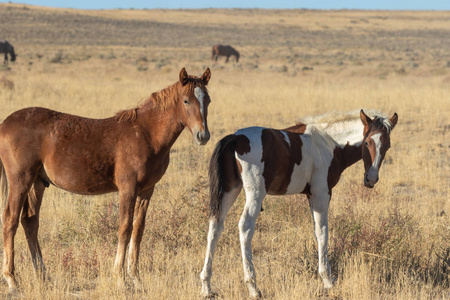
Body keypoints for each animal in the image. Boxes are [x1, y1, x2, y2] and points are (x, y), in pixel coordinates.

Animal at [0, 67, 213, 292]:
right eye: (186, 100)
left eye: (207, 100)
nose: (203, 136)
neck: (145, 134)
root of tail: (5, 123)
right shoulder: (128, 188)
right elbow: (125, 228)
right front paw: (120, 277)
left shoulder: (147, 190)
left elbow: (138, 230)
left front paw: (136, 277)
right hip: (20, 180)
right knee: (10, 220)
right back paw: (11, 279)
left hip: (37, 183)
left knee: (30, 222)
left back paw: (43, 276)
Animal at [200, 109, 398, 298]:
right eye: (366, 143)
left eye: (387, 145)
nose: (371, 179)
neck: (328, 142)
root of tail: (235, 138)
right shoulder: (321, 194)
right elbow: (323, 232)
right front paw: (327, 280)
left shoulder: (311, 196)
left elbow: (317, 233)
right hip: (255, 194)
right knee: (245, 227)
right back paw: (253, 286)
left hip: (230, 191)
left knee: (215, 226)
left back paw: (206, 285)